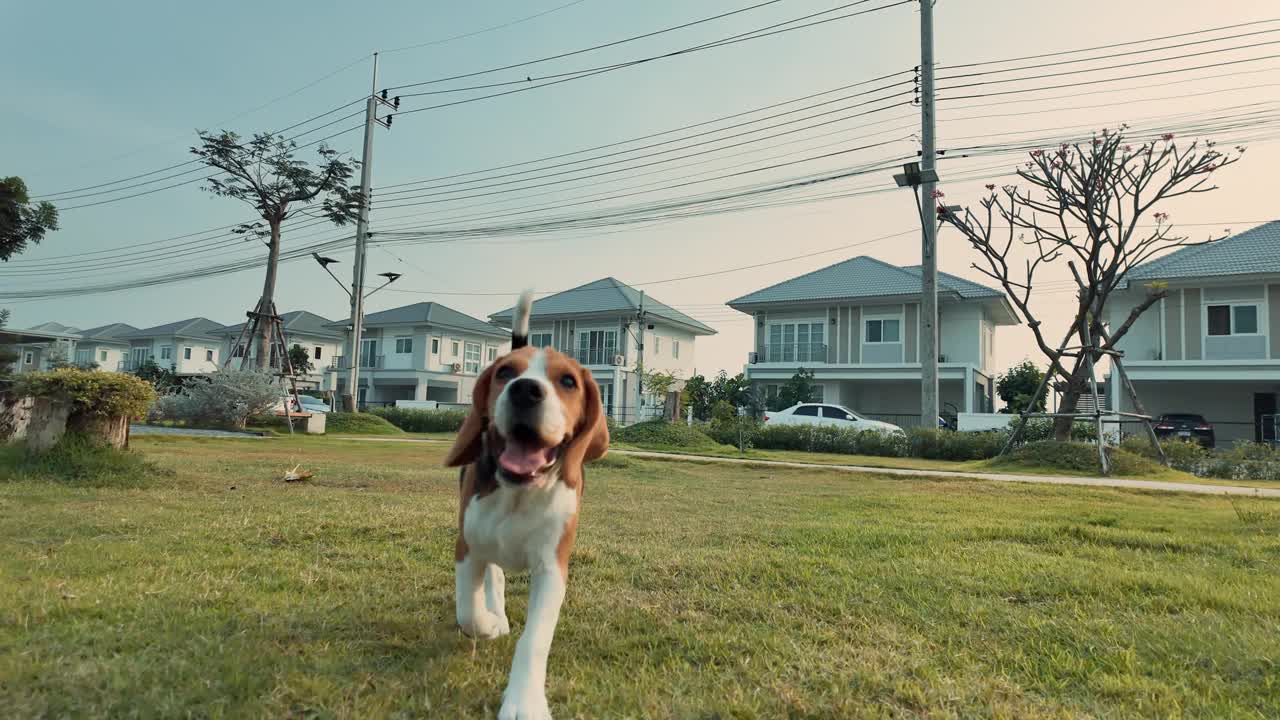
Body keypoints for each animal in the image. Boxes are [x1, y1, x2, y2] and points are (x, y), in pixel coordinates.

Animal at [445, 288, 609, 712]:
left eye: (568, 381)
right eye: (505, 373)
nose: (525, 389)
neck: (520, 493)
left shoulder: (552, 569)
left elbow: (535, 639)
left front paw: (525, 701)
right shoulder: (468, 547)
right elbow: (467, 610)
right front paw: (487, 624)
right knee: (496, 578)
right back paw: (496, 614)